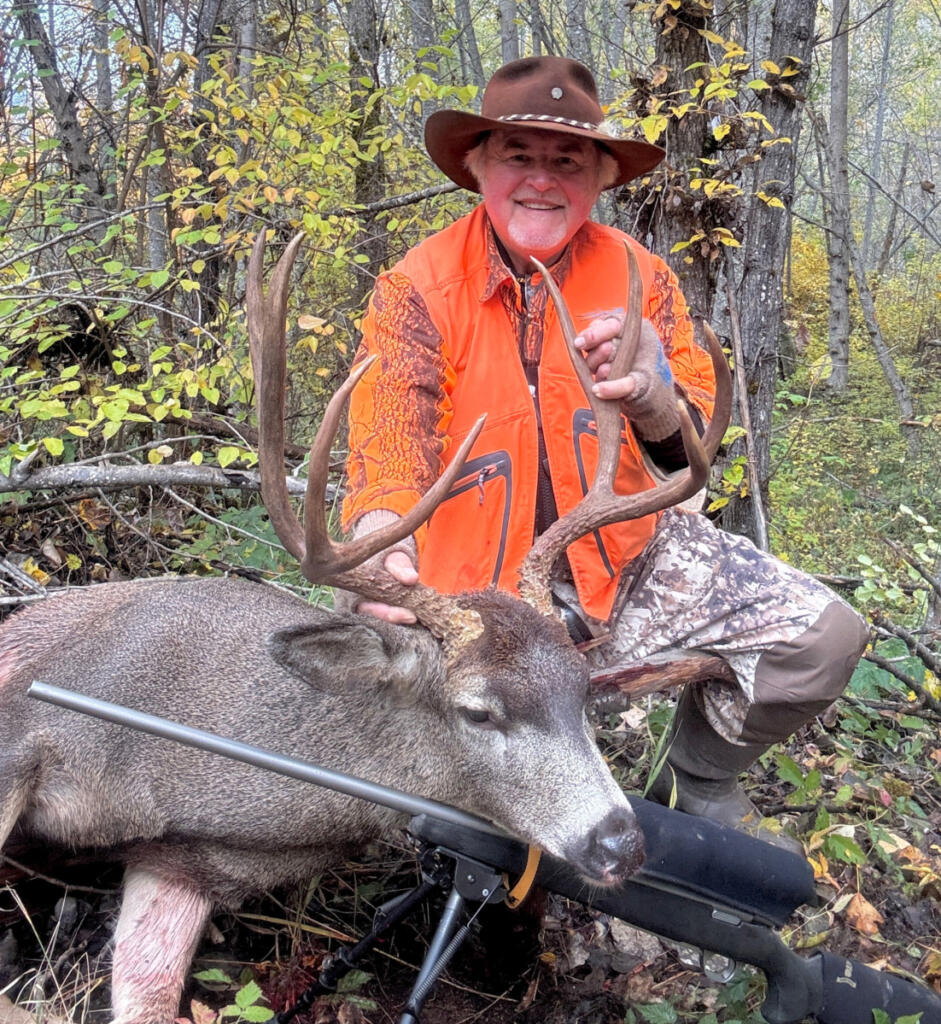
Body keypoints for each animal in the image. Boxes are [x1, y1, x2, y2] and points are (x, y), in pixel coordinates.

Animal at [0, 231, 731, 1024]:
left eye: (583, 691)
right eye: (477, 711)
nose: (621, 843)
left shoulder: (182, 863)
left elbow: (150, 993)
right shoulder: (21, 740)